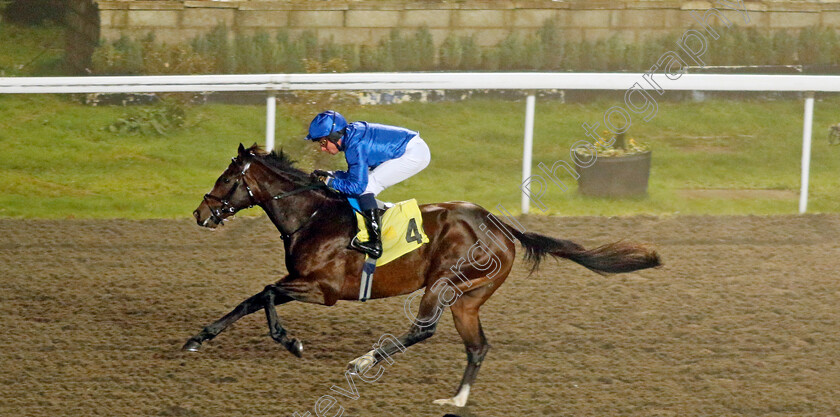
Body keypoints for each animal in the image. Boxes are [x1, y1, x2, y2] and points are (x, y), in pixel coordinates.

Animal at [187, 144, 660, 406]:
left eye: (226, 178)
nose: (200, 214)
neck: (313, 216)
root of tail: (502, 227)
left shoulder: (322, 288)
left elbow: (266, 293)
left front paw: (292, 342)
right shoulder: (300, 281)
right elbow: (250, 299)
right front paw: (197, 338)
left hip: (443, 282)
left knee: (424, 330)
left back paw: (363, 361)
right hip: (468, 297)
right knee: (477, 346)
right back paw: (457, 398)